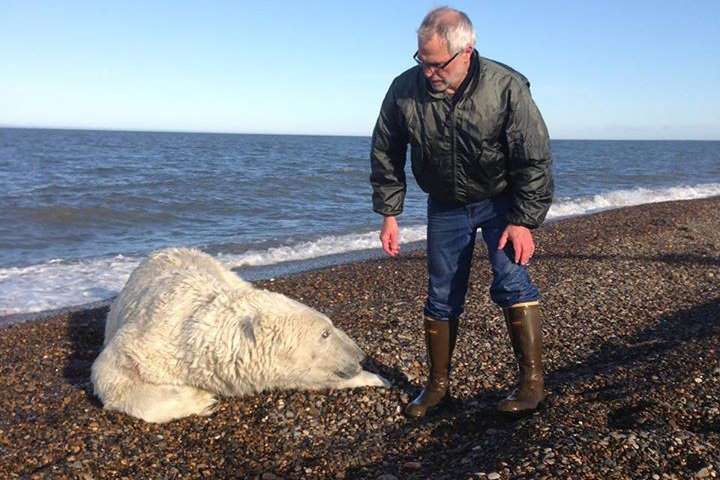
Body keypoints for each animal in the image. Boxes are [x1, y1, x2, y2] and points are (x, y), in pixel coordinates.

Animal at [91, 247, 389, 423]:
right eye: (325, 333)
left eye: (330, 325)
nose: (360, 354)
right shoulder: (149, 340)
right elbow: (109, 373)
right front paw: (201, 397)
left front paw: (376, 378)